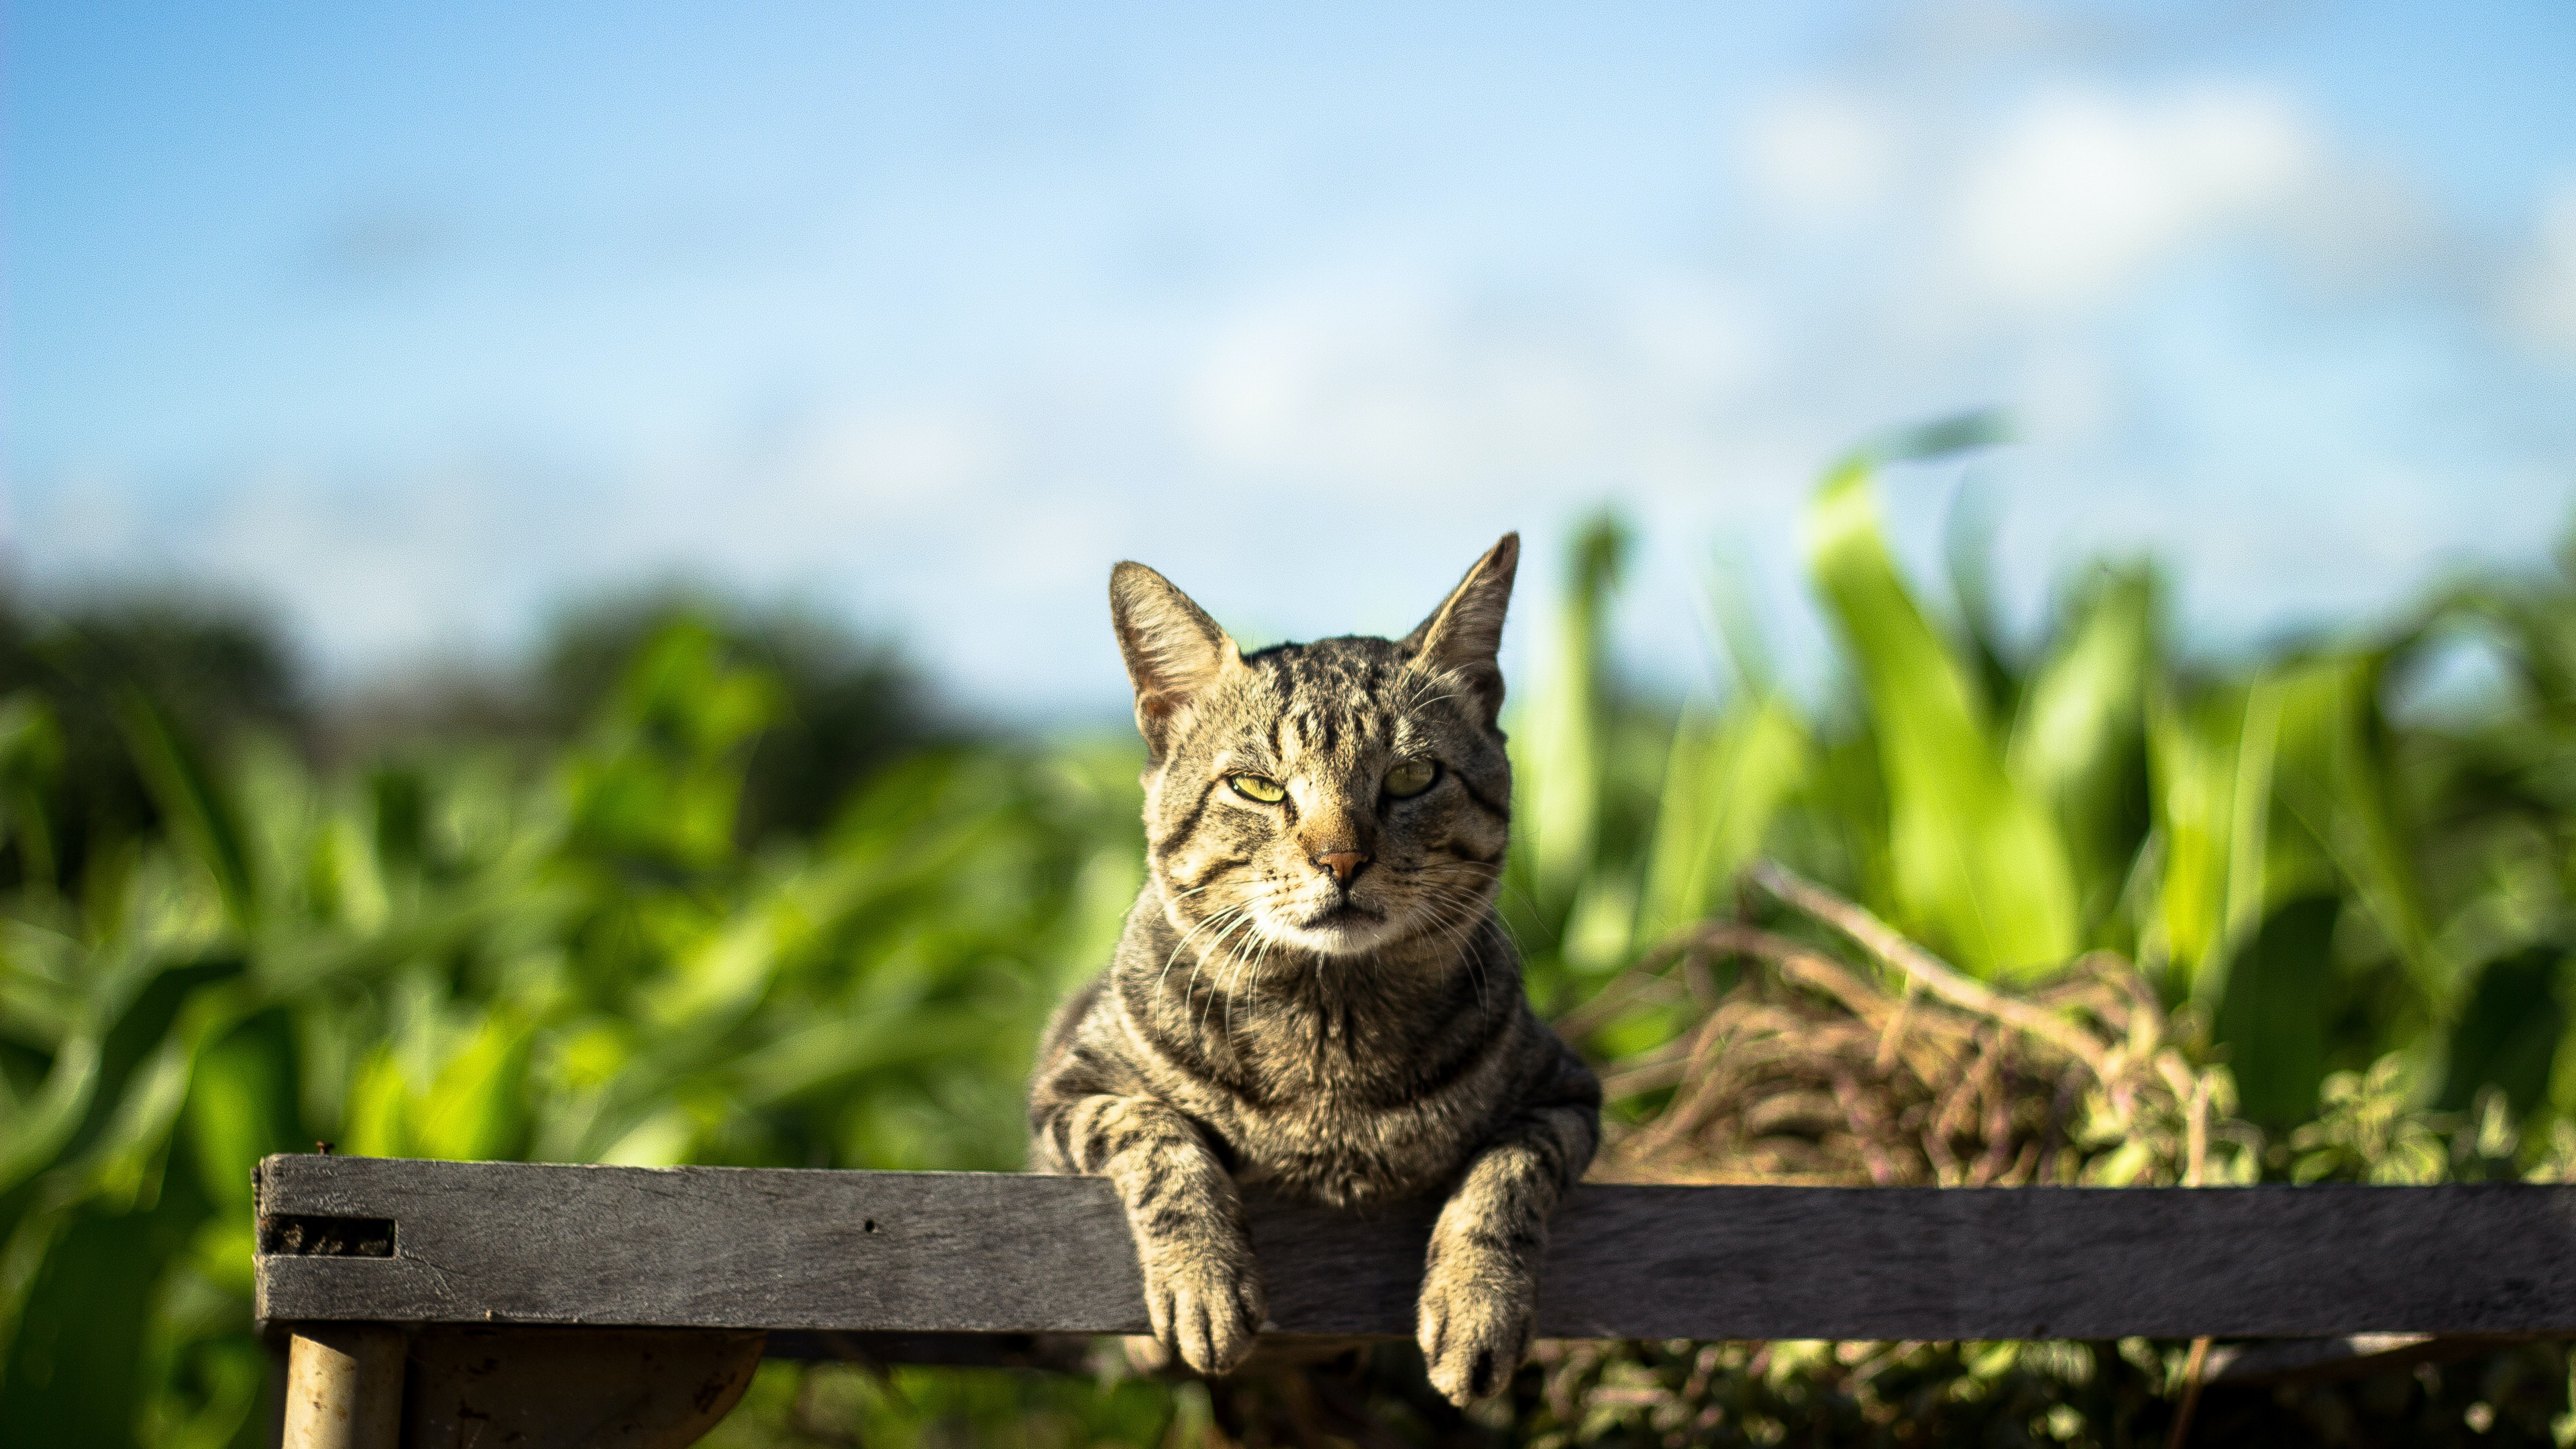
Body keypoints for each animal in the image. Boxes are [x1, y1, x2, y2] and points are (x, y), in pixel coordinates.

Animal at [1020, 531, 1587, 1402]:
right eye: (1257, 787)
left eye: (1412, 777)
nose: (1341, 859)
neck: (1330, 1021)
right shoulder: (1069, 1093)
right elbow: (1157, 1135)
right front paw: (1204, 1282)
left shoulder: (1567, 1095)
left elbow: (1509, 1171)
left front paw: (1477, 1305)